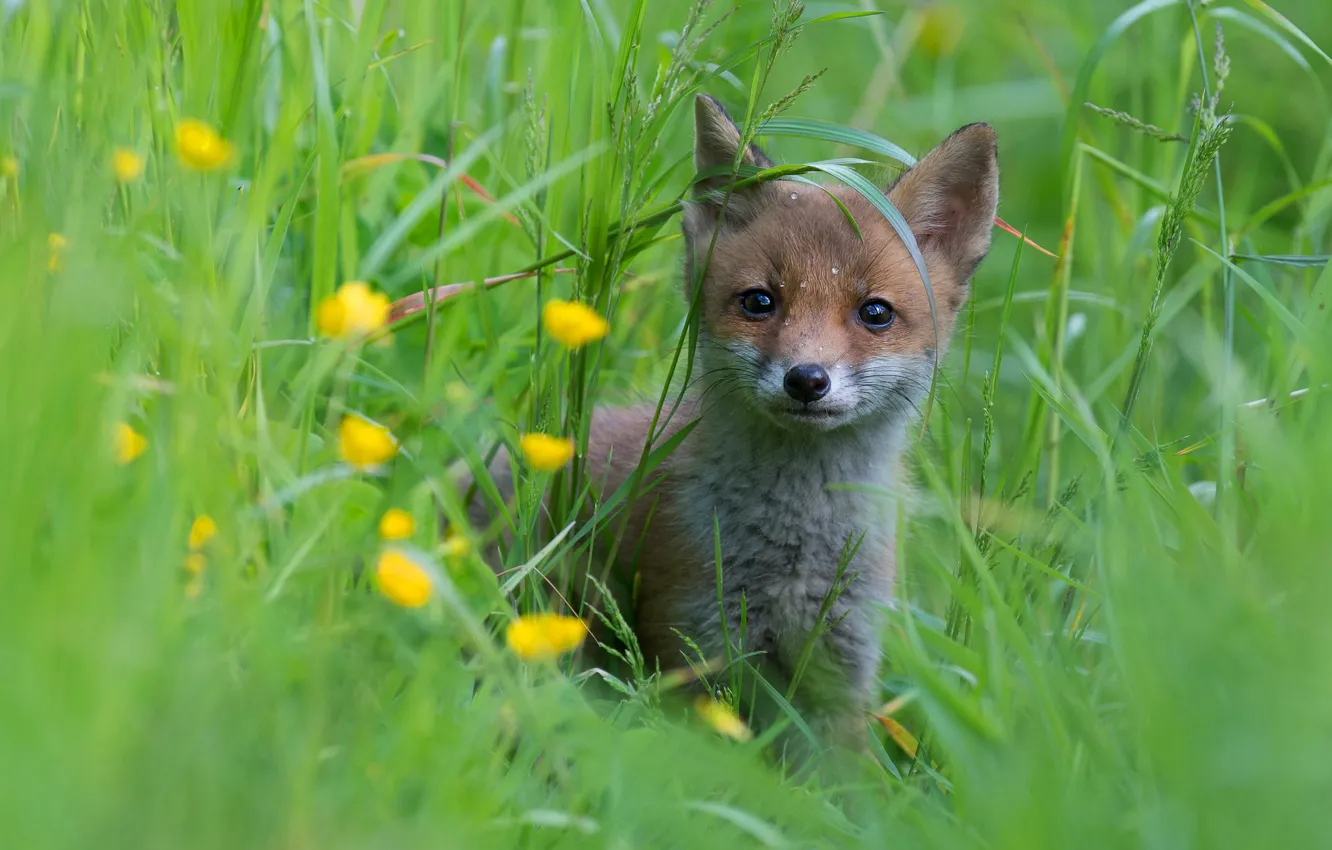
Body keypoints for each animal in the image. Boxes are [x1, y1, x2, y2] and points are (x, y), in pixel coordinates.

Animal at [463, 94, 999, 758]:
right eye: (759, 302)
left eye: (875, 313)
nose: (807, 379)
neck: (793, 553)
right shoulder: (693, 648)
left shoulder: (843, 668)